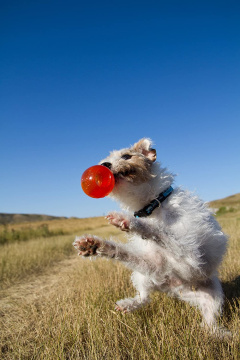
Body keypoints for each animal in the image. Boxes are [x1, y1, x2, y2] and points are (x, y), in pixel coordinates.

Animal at [72, 139, 229, 338]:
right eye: (103, 161)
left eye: (127, 156)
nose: (104, 165)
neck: (153, 205)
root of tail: (173, 285)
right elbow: (154, 234)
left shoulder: (190, 255)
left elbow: (160, 232)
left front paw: (129, 221)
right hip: (148, 272)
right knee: (142, 292)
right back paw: (96, 247)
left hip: (210, 295)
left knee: (209, 320)